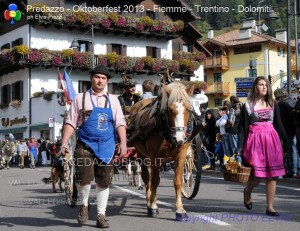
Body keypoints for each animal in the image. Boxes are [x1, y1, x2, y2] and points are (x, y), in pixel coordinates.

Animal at [128, 81, 197, 220]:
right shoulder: (156, 157)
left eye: (189, 109)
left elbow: (178, 181)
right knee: (146, 178)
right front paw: (153, 206)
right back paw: (149, 202)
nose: (179, 138)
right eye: (170, 109)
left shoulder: (181, 154)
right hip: (141, 154)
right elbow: (154, 181)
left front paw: (180, 210)